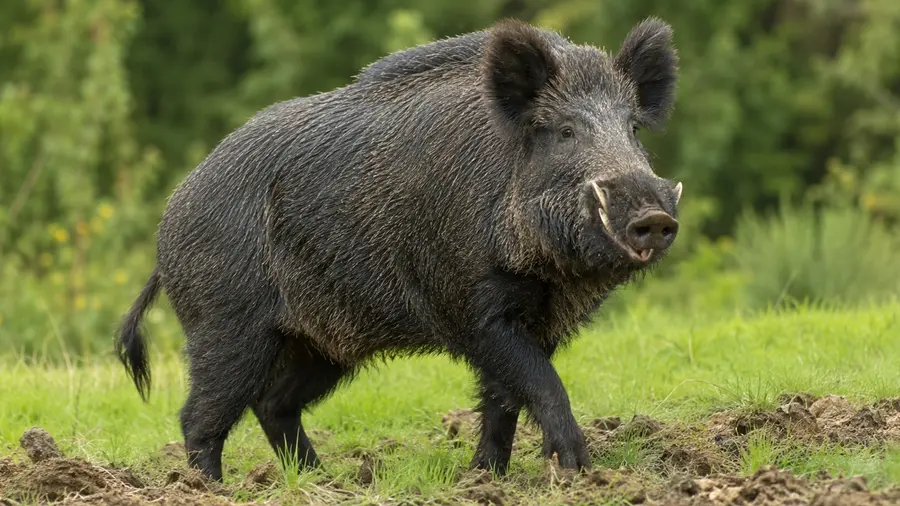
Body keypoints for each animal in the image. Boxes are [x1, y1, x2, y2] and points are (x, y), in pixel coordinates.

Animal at [115, 17, 682, 482]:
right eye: (565, 131)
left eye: (633, 129)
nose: (655, 217)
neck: (547, 276)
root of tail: (167, 225)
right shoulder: (472, 308)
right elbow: (540, 383)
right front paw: (578, 470)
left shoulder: (537, 320)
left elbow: (503, 401)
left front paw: (484, 478)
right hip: (225, 324)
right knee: (200, 415)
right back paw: (210, 487)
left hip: (319, 340)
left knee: (275, 404)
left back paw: (324, 481)